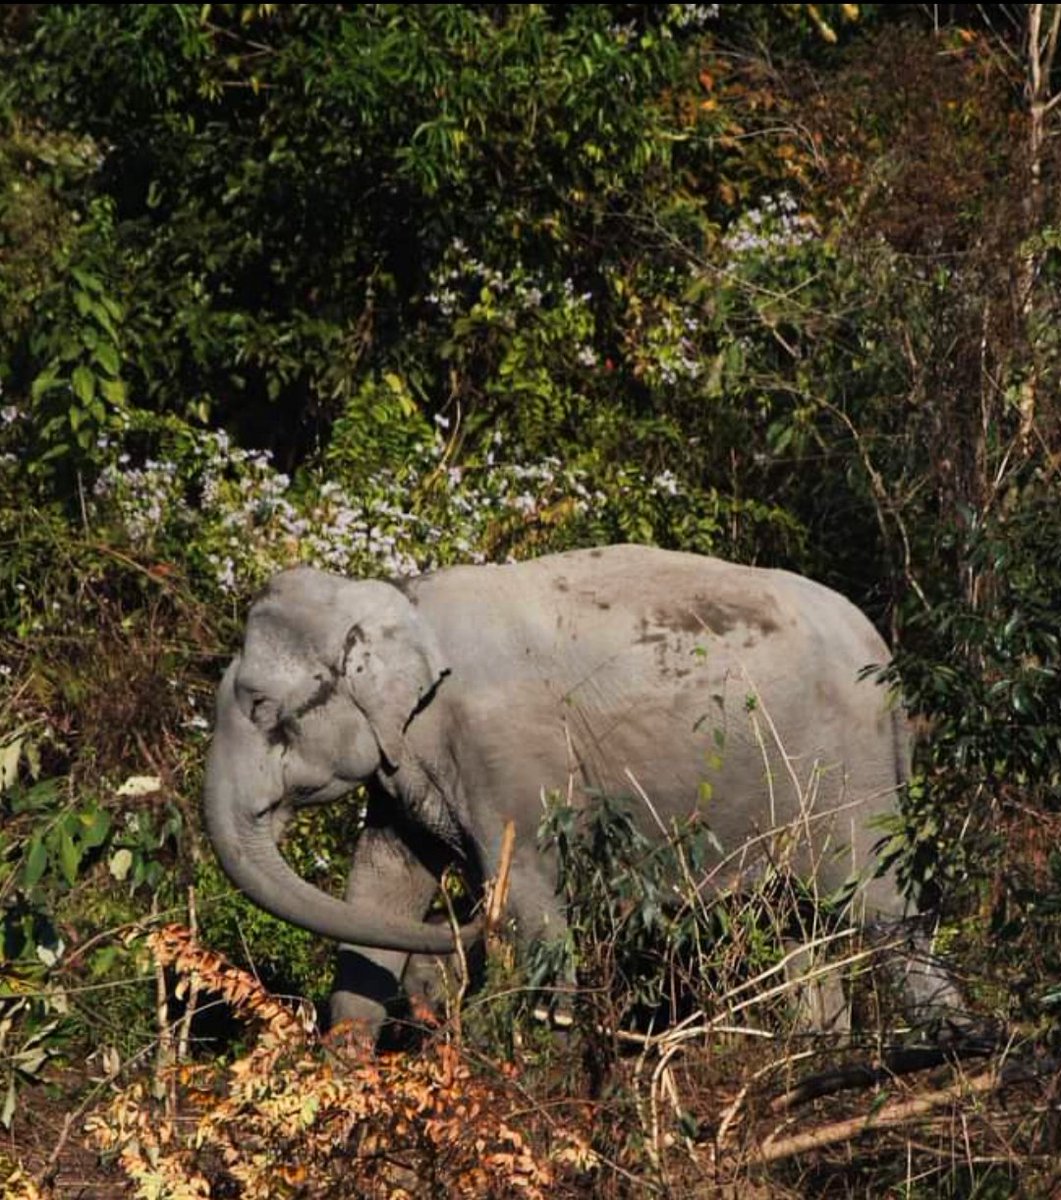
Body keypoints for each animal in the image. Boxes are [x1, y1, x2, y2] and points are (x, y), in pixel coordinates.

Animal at [200, 544, 945, 1041]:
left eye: (260, 706)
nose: (461, 920)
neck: (397, 599)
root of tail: (885, 657)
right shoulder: (404, 768)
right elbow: (379, 891)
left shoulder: (510, 762)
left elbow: (533, 910)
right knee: (798, 934)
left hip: (849, 776)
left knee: (885, 918)